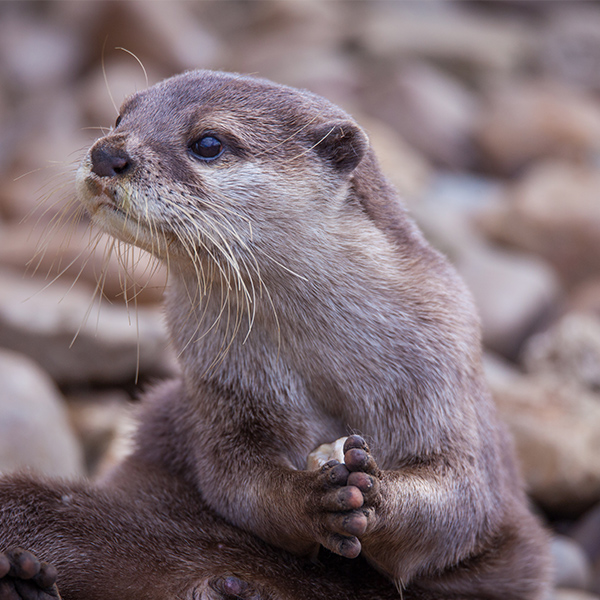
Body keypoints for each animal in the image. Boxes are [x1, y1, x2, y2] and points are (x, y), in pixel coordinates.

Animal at [1, 71, 552, 600]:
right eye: (120, 117)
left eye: (208, 143)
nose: (107, 152)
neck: (326, 353)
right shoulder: (222, 386)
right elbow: (236, 480)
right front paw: (310, 498)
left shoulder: (441, 369)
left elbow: (463, 502)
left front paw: (376, 493)